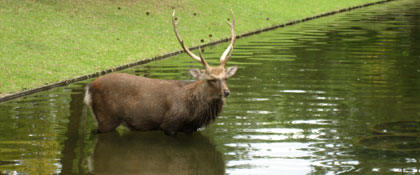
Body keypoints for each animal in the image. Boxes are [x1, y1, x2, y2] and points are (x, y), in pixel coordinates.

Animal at [83, 10, 238, 135]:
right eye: (210, 79)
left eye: (226, 78)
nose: (226, 92)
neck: (193, 114)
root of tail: (90, 87)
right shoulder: (170, 124)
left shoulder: (190, 129)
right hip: (106, 118)